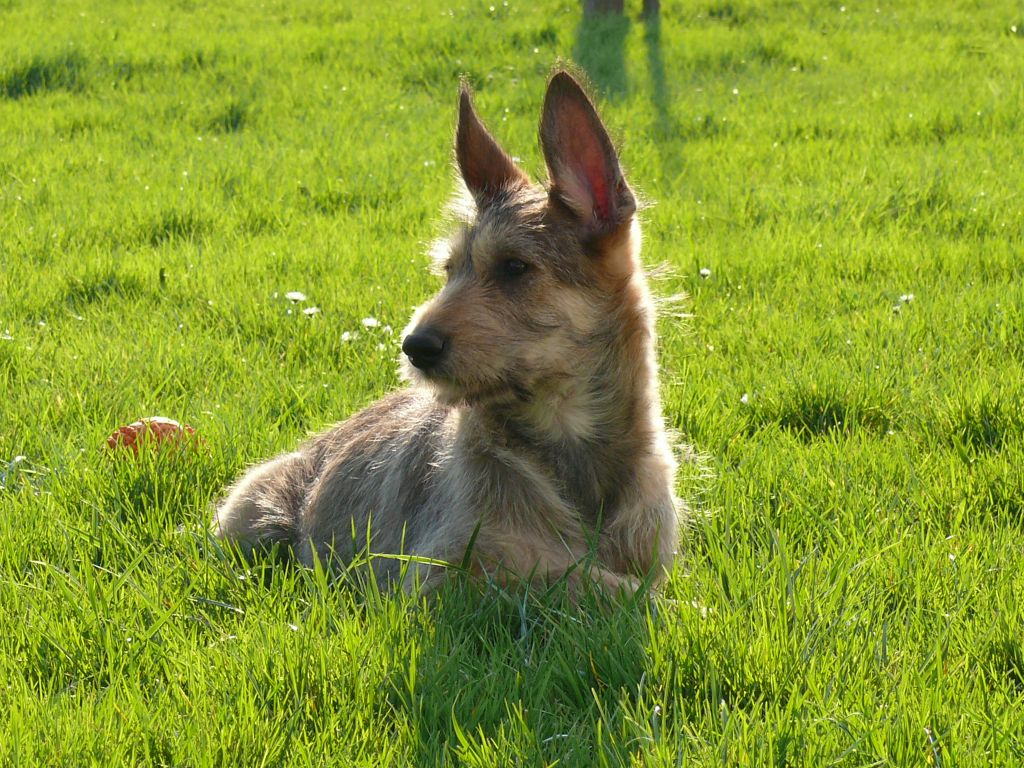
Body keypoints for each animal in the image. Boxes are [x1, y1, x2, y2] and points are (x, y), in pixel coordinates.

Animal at [209, 69, 679, 593]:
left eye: (514, 267)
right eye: (449, 270)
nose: (414, 346)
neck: (568, 446)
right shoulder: (447, 570)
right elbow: (597, 584)